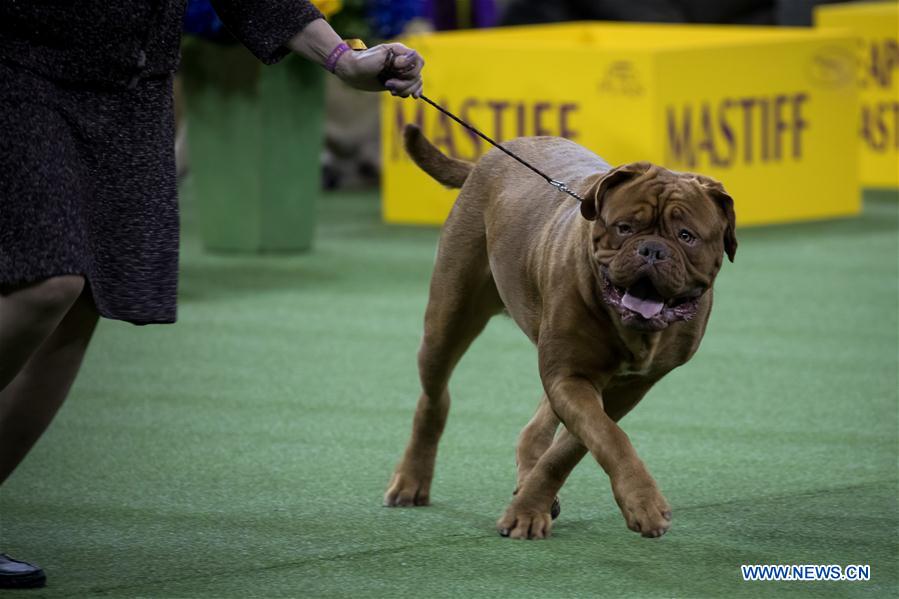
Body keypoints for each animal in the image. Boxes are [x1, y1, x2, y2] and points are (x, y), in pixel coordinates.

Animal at [384, 124, 736, 540]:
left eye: (686, 236)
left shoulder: (624, 386)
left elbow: (574, 446)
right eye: (624, 228)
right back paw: (411, 480)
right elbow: (609, 438)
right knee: (434, 398)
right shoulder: (570, 375)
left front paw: (530, 505)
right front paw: (644, 503)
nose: (651, 250)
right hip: (448, 316)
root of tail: (491, 156)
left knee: (535, 426)